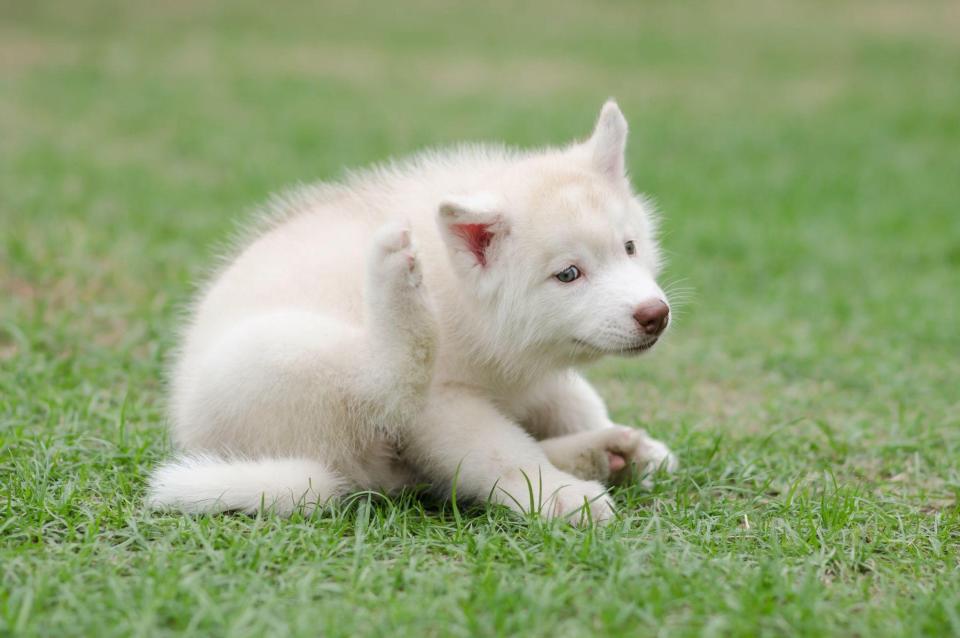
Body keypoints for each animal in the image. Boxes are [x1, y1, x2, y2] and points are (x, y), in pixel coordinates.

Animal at [148, 101, 676, 524]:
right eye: (568, 274)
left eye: (630, 247)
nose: (655, 314)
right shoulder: (443, 405)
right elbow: (499, 450)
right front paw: (558, 495)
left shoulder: (531, 372)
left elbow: (574, 400)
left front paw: (631, 445)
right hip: (278, 352)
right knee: (387, 385)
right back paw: (394, 280)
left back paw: (603, 453)